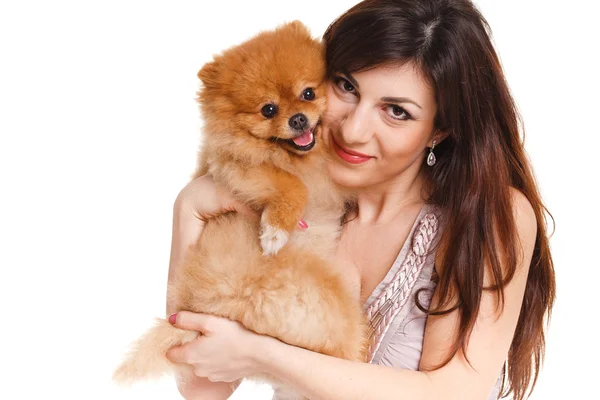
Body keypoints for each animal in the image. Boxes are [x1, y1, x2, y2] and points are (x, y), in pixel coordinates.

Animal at [111, 21, 366, 396]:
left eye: (308, 93)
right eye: (268, 110)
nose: (299, 119)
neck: (299, 157)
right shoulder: (236, 166)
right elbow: (293, 185)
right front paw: (275, 231)